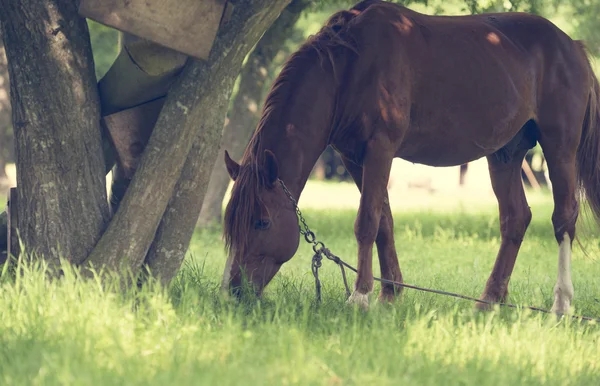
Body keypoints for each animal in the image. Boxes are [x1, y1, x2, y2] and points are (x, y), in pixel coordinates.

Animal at [220, 0, 600, 314]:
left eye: (262, 221)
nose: (234, 290)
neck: (349, 68)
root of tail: (572, 47)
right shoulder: (355, 158)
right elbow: (384, 221)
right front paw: (389, 294)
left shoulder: (380, 148)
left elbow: (367, 221)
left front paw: (360, 296)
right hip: (505, 155)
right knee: (515, 219)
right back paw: (488, 301)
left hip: (559, 148)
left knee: (564, 218)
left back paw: (561, 304)